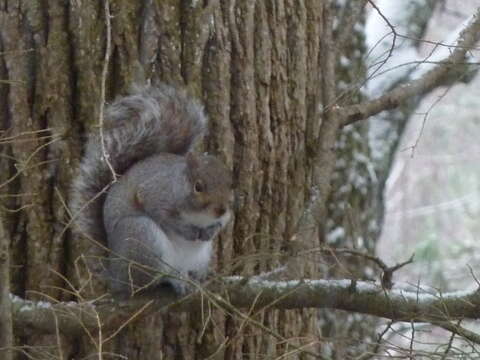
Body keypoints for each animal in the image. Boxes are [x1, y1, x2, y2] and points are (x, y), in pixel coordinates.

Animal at [69, 83, 232, 298]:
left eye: (230, 184)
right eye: (198, 186)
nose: (220, 209)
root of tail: (115, 276)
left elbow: (224, 222)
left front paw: (212, 229)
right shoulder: (155, 192)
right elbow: (163, 215)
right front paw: (187, 230)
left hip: (199, 256)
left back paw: (197, 277)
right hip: (142, 237)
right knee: (150, 280)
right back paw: (174, 281)